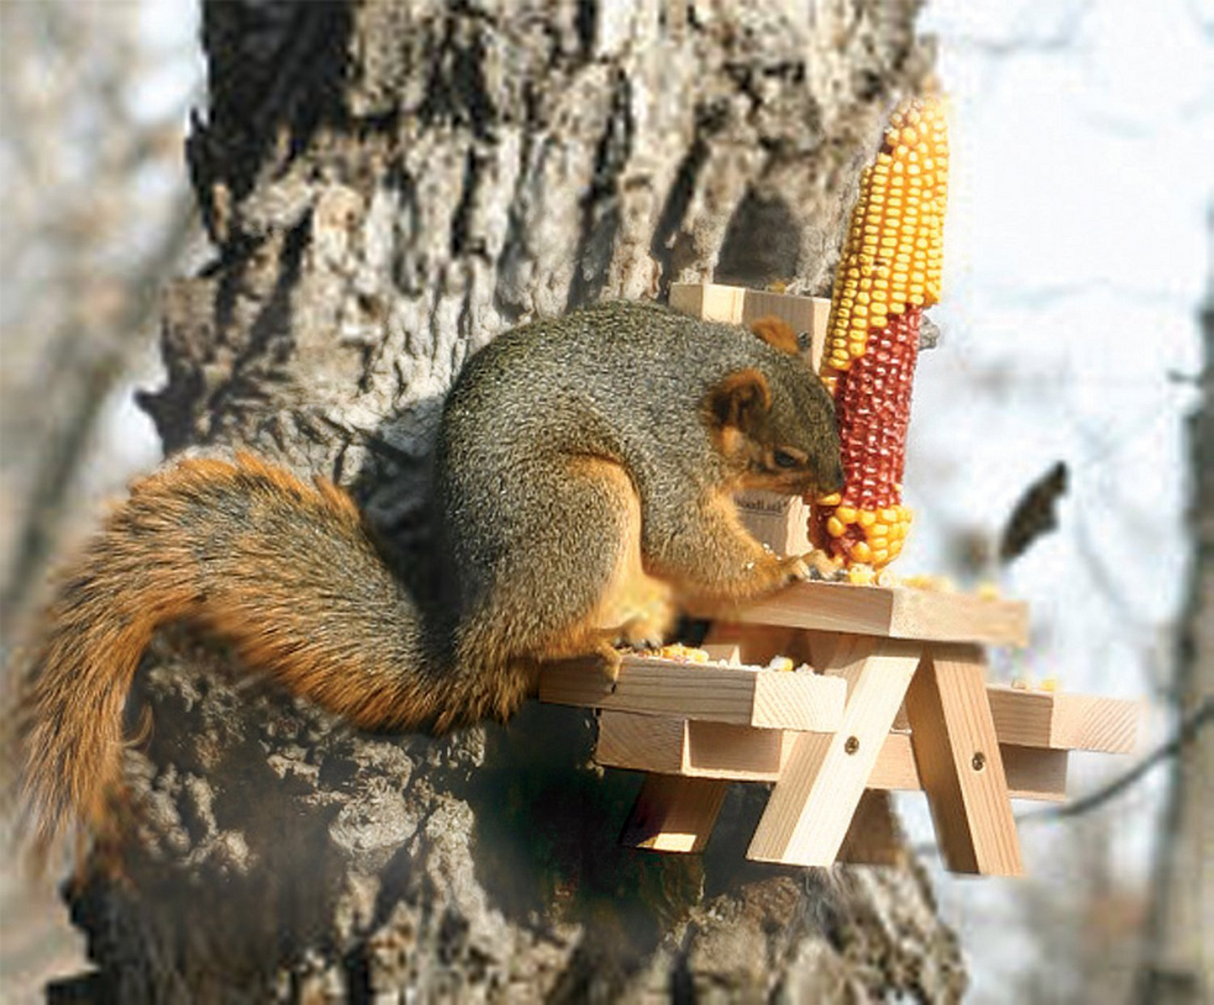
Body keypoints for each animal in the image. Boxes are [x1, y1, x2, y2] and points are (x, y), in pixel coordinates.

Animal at [9, 298, 844, 854]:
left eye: (834, 414)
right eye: (786, 456)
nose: (838, 485)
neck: (698, 385)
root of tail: (468, 641)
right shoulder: (668, 461)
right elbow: (689, 541)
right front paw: (790, 564)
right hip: (584, 503)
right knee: (538, 637)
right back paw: (595, 642)